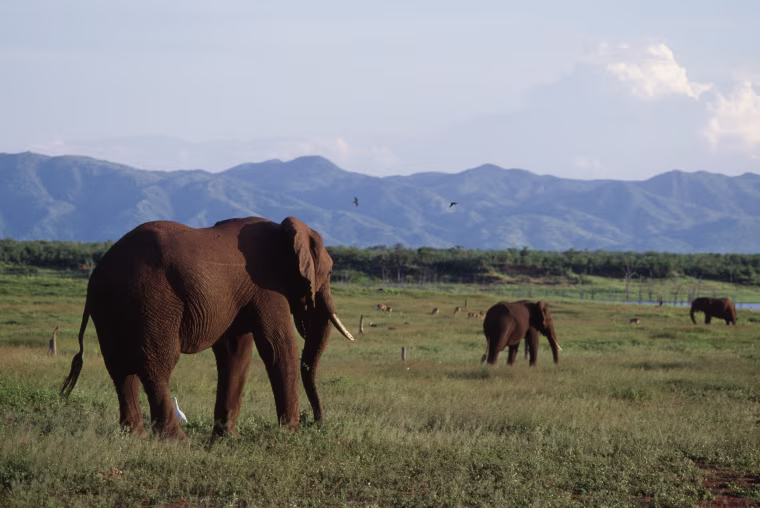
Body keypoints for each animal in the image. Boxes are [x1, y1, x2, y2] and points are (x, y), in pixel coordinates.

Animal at [60, 216, 355, 439]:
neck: (284, 231)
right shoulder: (267, 287)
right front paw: (289, 435)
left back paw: (135, 437)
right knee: (157, 364)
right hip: (152, 300)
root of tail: (98, 273)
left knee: (120, 371)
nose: (316, 422)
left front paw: (228, 438)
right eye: (329, 274)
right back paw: (176, 441)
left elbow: (235, 353)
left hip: (112, 308)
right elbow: (277, 347)